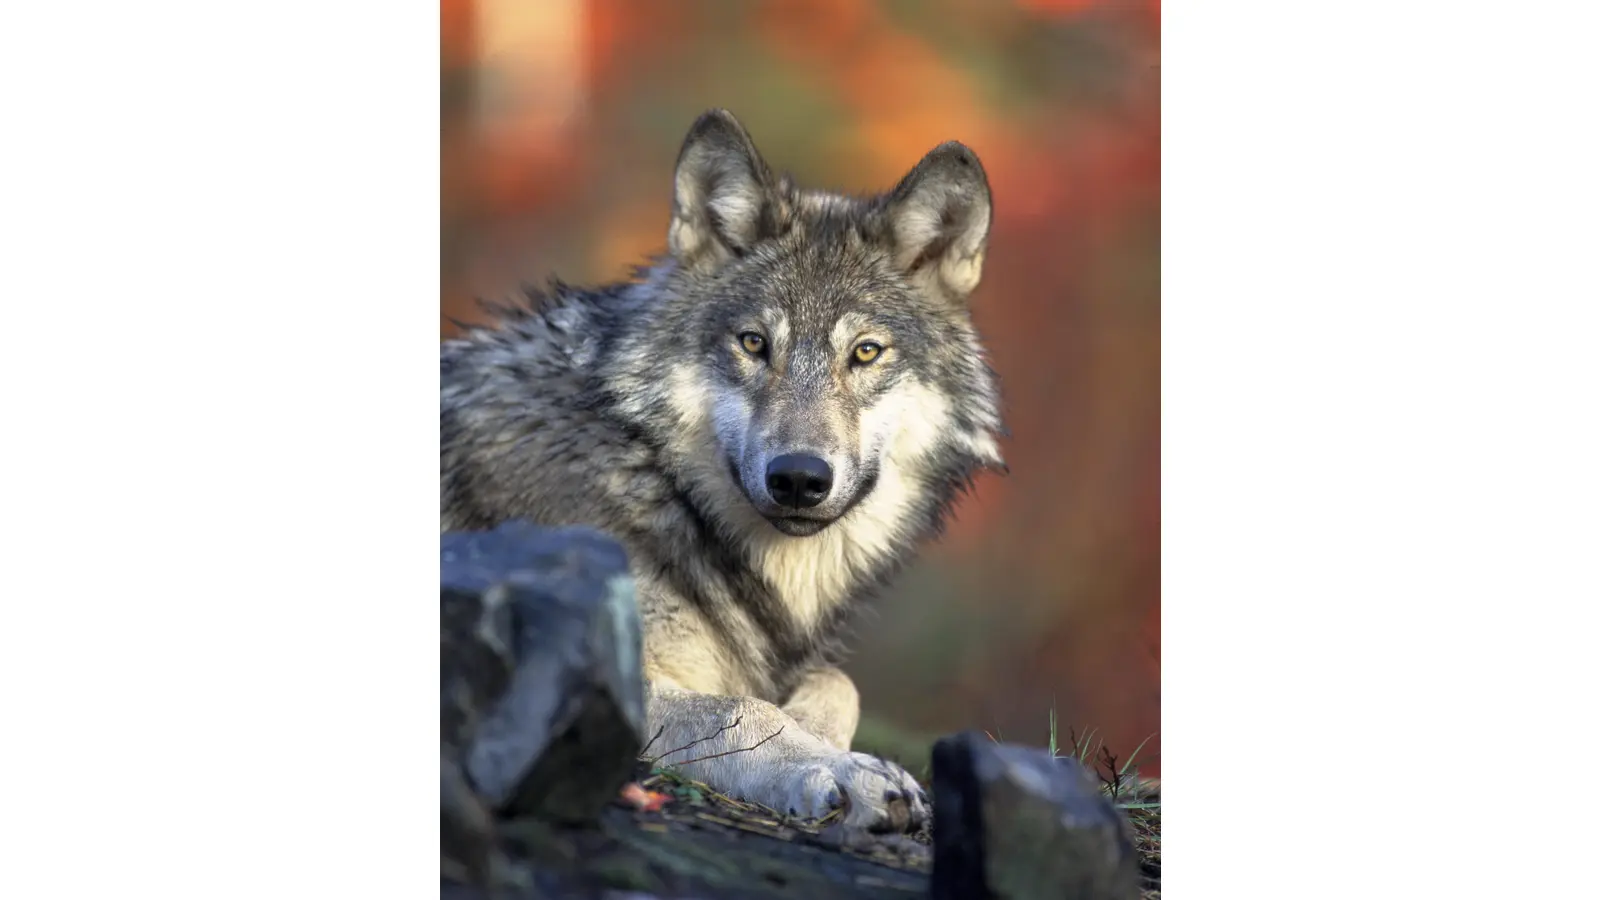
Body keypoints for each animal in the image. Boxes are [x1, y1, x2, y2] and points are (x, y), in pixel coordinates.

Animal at [440, 109, 1005, 832]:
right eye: (754, 344)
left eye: (865, 352)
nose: (799, 478)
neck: (655, 480)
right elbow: (742, 708)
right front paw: (843, 771)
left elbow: (837, 682)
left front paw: (826, 740)